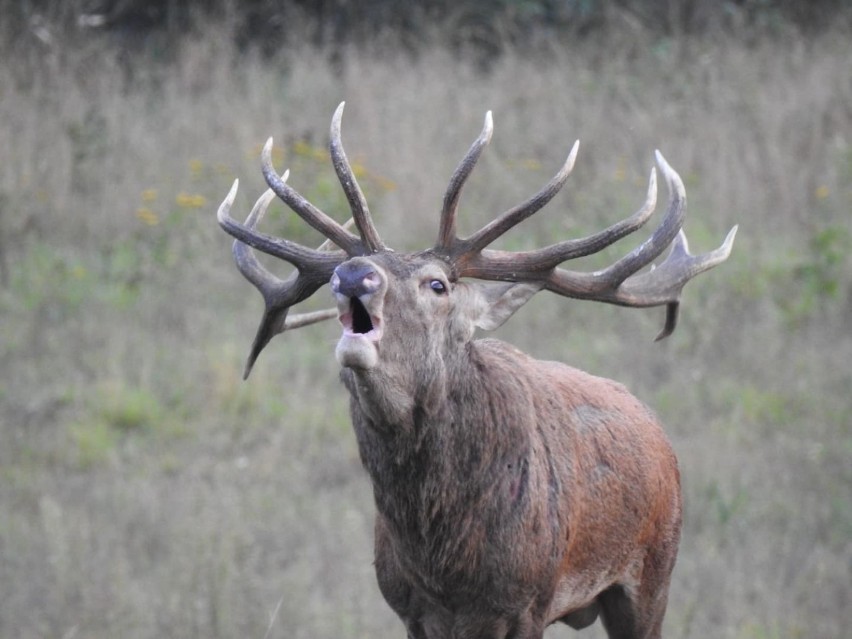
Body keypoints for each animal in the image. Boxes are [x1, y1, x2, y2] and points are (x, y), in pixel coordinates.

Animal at [216, 102, 736, 636]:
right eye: (348, 272)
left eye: (438, 284)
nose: (353, 274)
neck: (444, 563)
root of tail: (660, 436)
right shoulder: (409, 608)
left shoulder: (528, 600)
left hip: (653, 572)